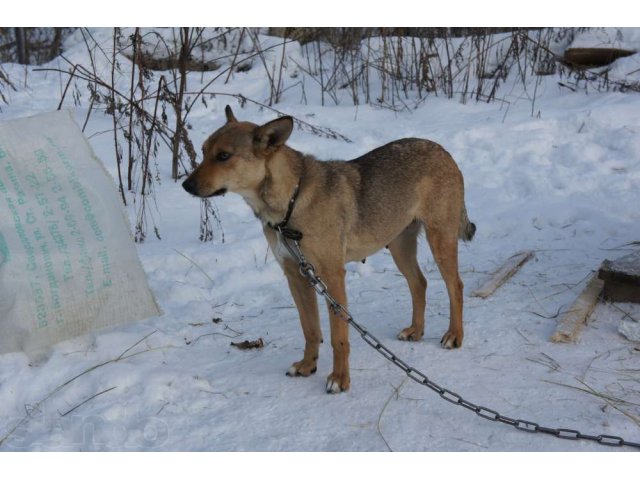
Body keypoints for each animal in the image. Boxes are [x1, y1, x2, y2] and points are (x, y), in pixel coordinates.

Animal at [181, 106, 476, 394]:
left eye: (223, 156)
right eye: (204, 150)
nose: (186, 186)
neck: (291, 202)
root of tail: (442, 150)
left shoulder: (332, 277)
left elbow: (338, 337)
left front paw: (340, 379)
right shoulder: (297, 277)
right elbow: (310, 329)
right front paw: (307, 365)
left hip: (440, 240)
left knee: (456, 286)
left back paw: (455, 335)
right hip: (400, 245)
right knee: (419, 284)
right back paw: (416, 330)